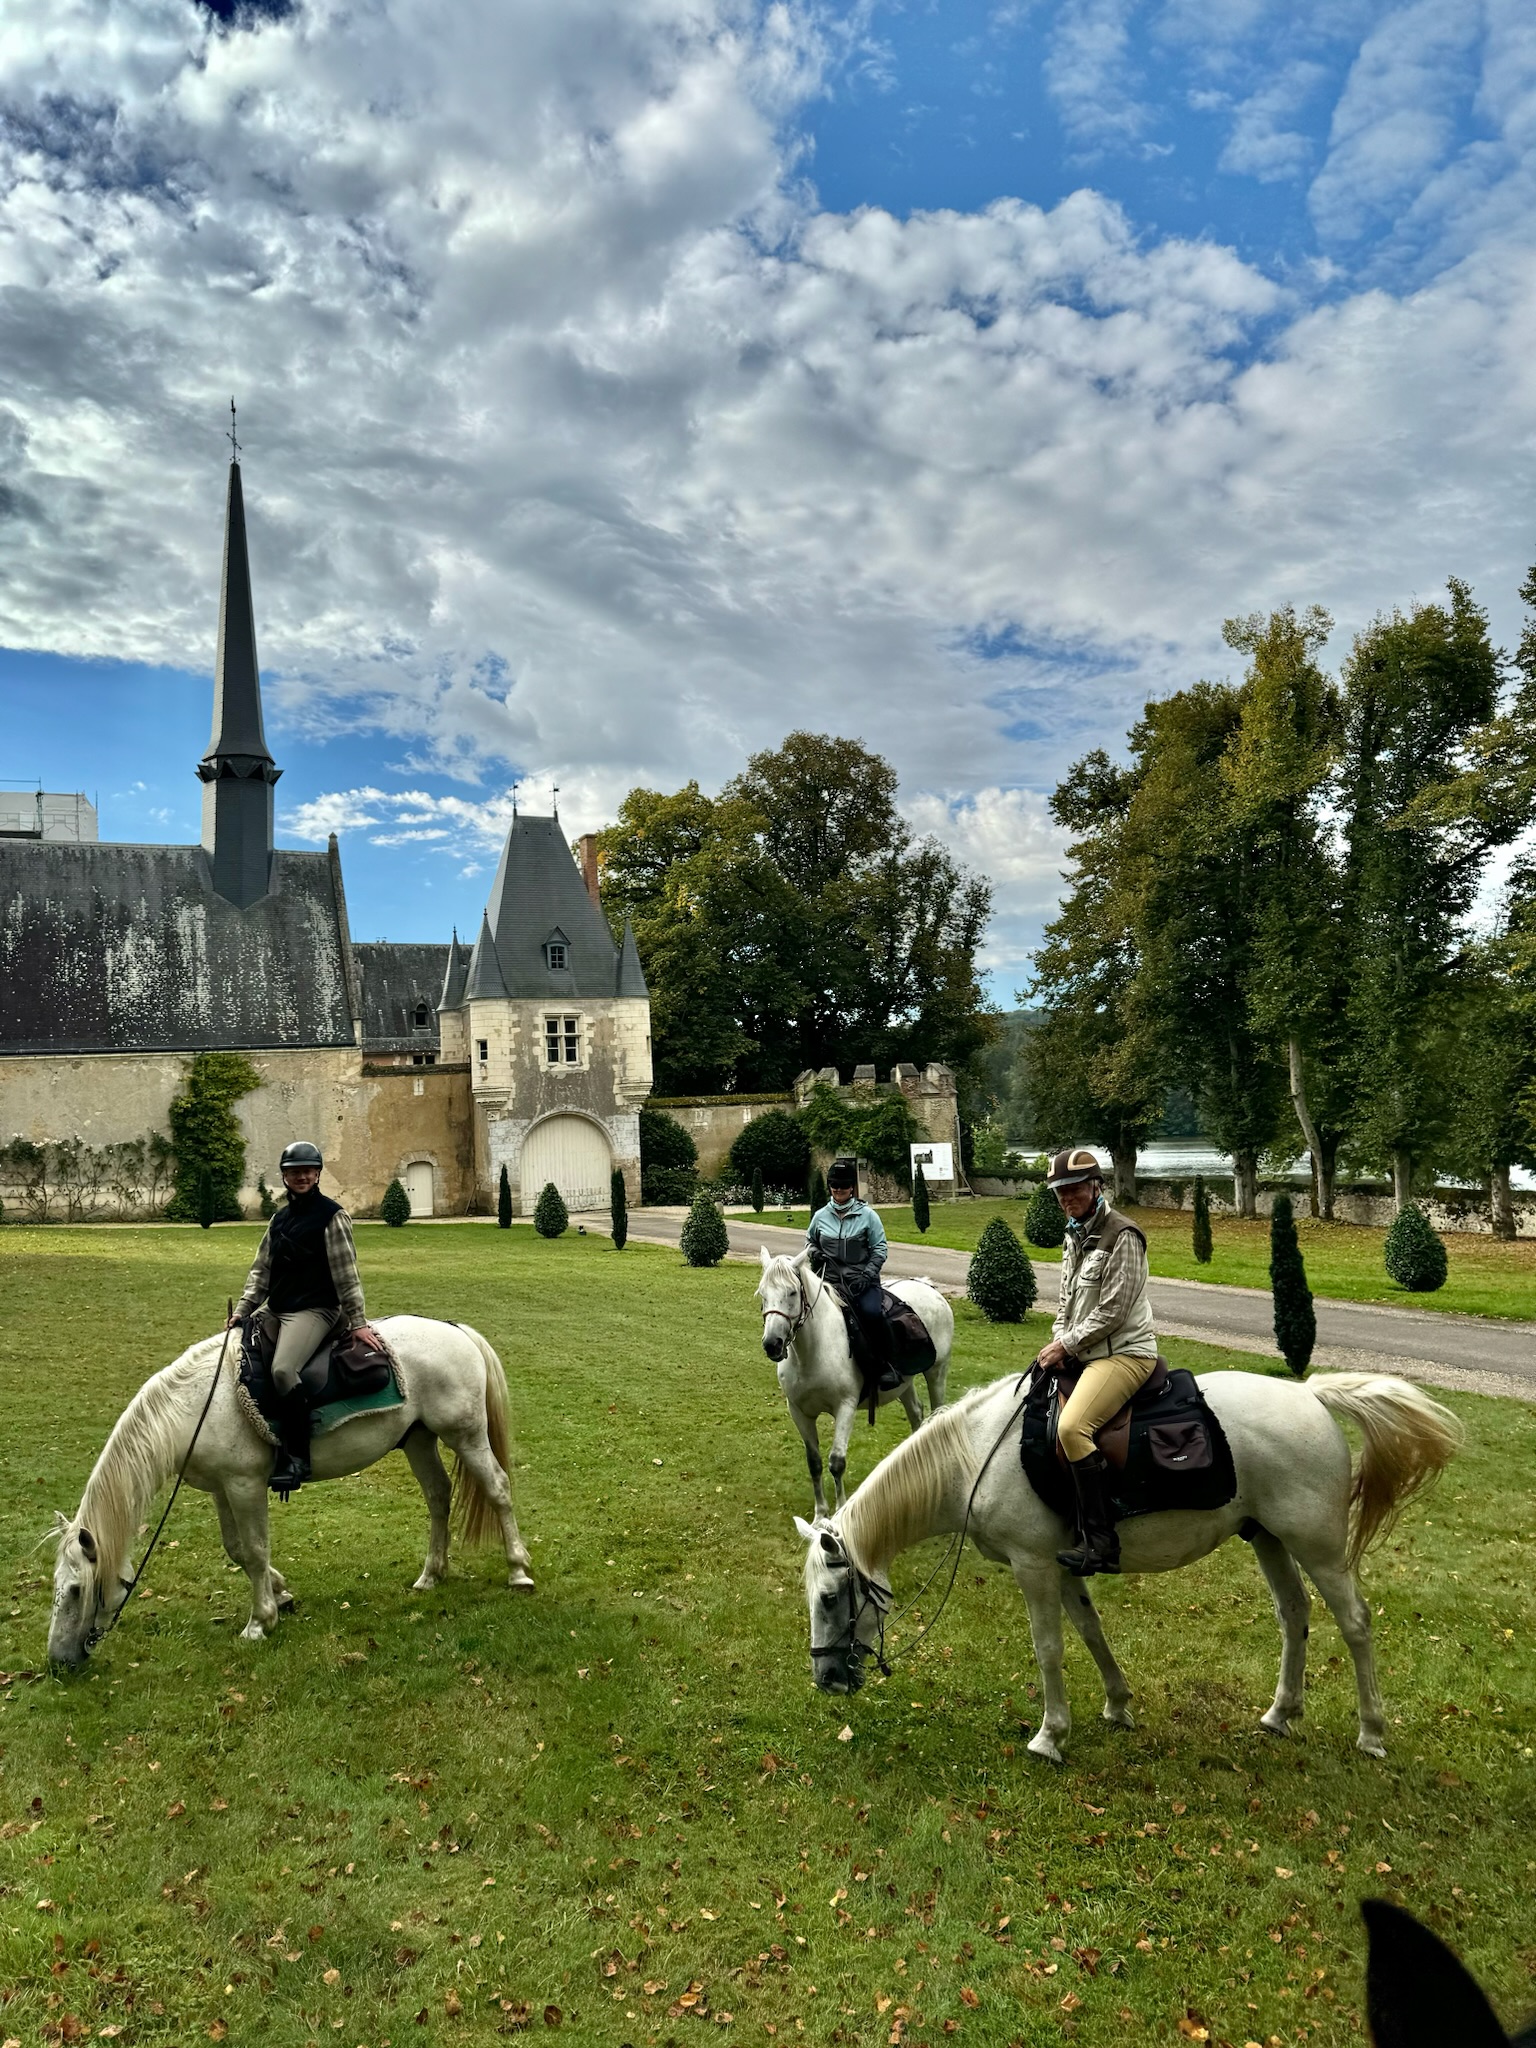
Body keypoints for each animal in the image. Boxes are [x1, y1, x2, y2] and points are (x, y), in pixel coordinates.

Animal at [48, 1316, 534, 1666]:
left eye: (75, 1591)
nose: (58, 1663)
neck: (194, 1409)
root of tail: (457, 1330)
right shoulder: (222, 1488)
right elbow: (237, 1550)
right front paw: (281, 1594)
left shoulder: (245, 1485)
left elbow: (255, 1550)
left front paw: (260, 1621)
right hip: (418, 1439)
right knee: (438, 1496)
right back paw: (432, 1574)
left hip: (465, 1435)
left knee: (498, 1489)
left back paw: (518, 1571)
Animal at [757, 1246, 953, 1518]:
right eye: (762, 1294)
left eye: (792, 1292)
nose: (772, 1344)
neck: (814, 1350)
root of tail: (929, 1287)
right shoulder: (799, 1411)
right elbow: (814, 1463)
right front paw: (820, 1515)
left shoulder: (845, 1407)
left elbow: (837, 1462)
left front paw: (838, 1512)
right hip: (904, 1384)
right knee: (916, 1413)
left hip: (936, 1373)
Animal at [795, 1366, 1461, 1762]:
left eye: (829, 1598)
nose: (826, 1679)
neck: (972, 1458)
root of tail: (1307, 1393)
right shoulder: (1063, 1565)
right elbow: (1091, 1631)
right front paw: (1117, 1706)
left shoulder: (1033, 1567)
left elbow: (1049, 1649)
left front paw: (1049, 1735)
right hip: (1268, 1539)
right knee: (1293, 1616)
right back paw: (1280, 1713)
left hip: (1316, 1546)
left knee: (1355, 1624)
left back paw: (1371, 1732)